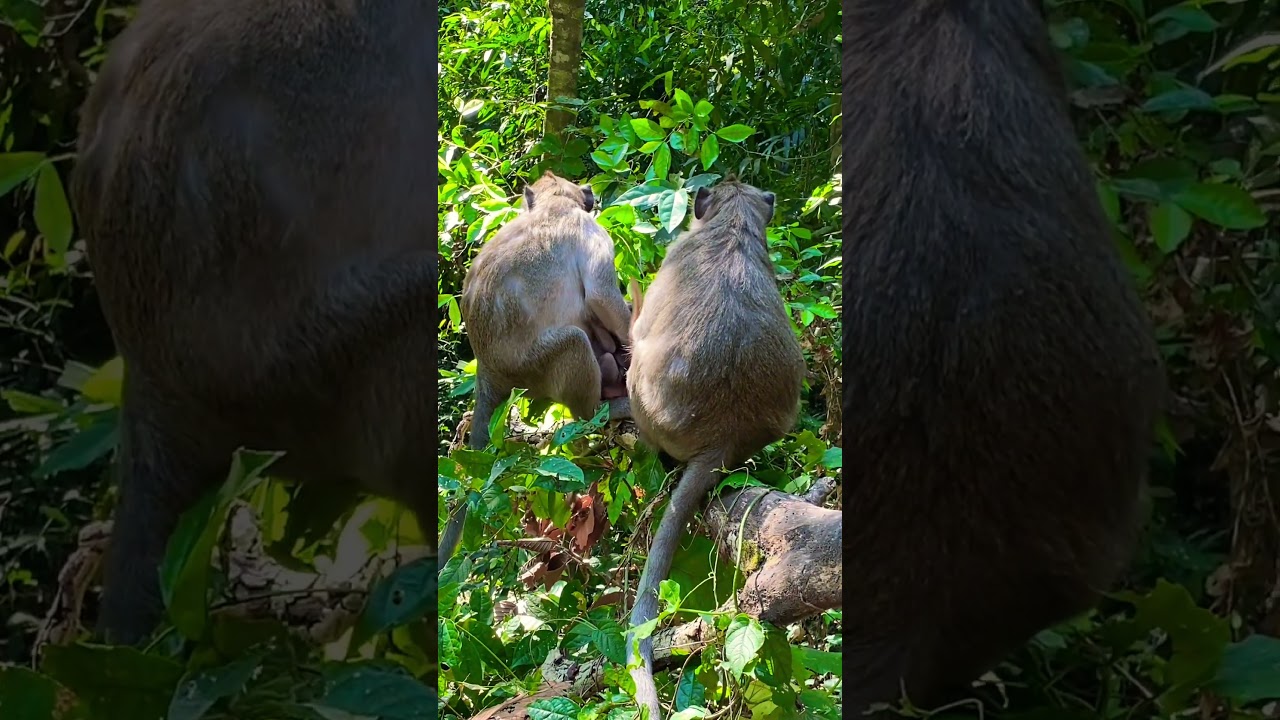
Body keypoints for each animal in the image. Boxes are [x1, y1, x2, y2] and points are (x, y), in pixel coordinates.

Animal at [439, 171, 634, 566]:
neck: (554, 204)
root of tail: (487, 369)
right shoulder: (589, 230)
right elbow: (602, 295)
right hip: (534, 367)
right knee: (574, 340)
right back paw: (600, 409)